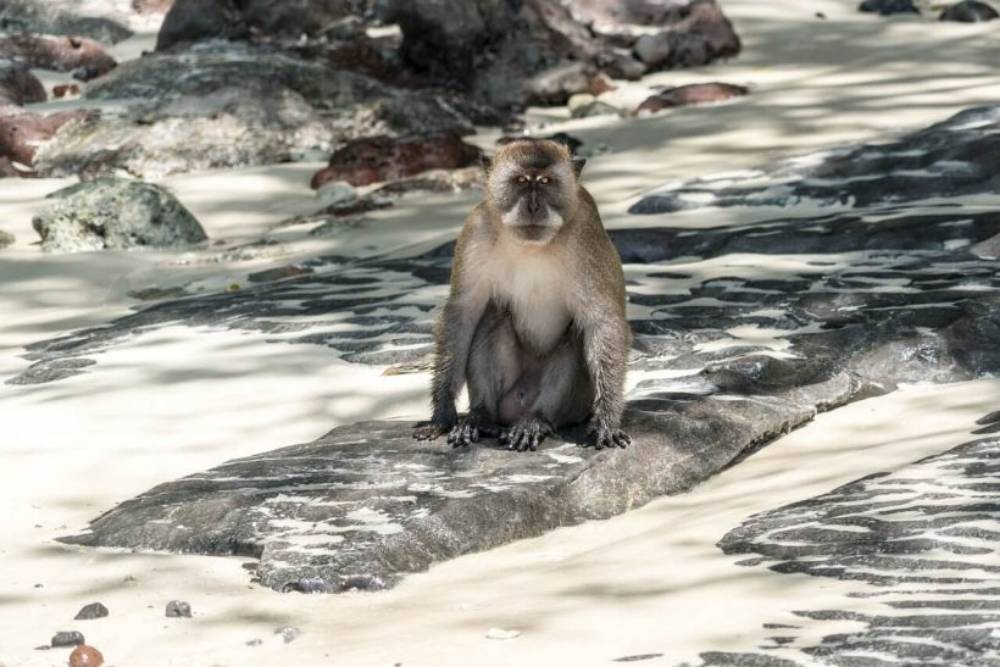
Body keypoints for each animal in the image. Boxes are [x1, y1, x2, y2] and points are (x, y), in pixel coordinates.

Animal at [414, 138, 632, 452]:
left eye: (545, 181)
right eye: (520, 181)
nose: (533, 206)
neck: (531, 245)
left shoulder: (586, 234)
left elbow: (603, 321)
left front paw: (607, 421)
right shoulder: (476, 228)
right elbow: (462, 313)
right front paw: (442, 415)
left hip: (575, 405)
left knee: (574, 335)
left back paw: (536, 420)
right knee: (493, 314)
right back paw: (481, 416)